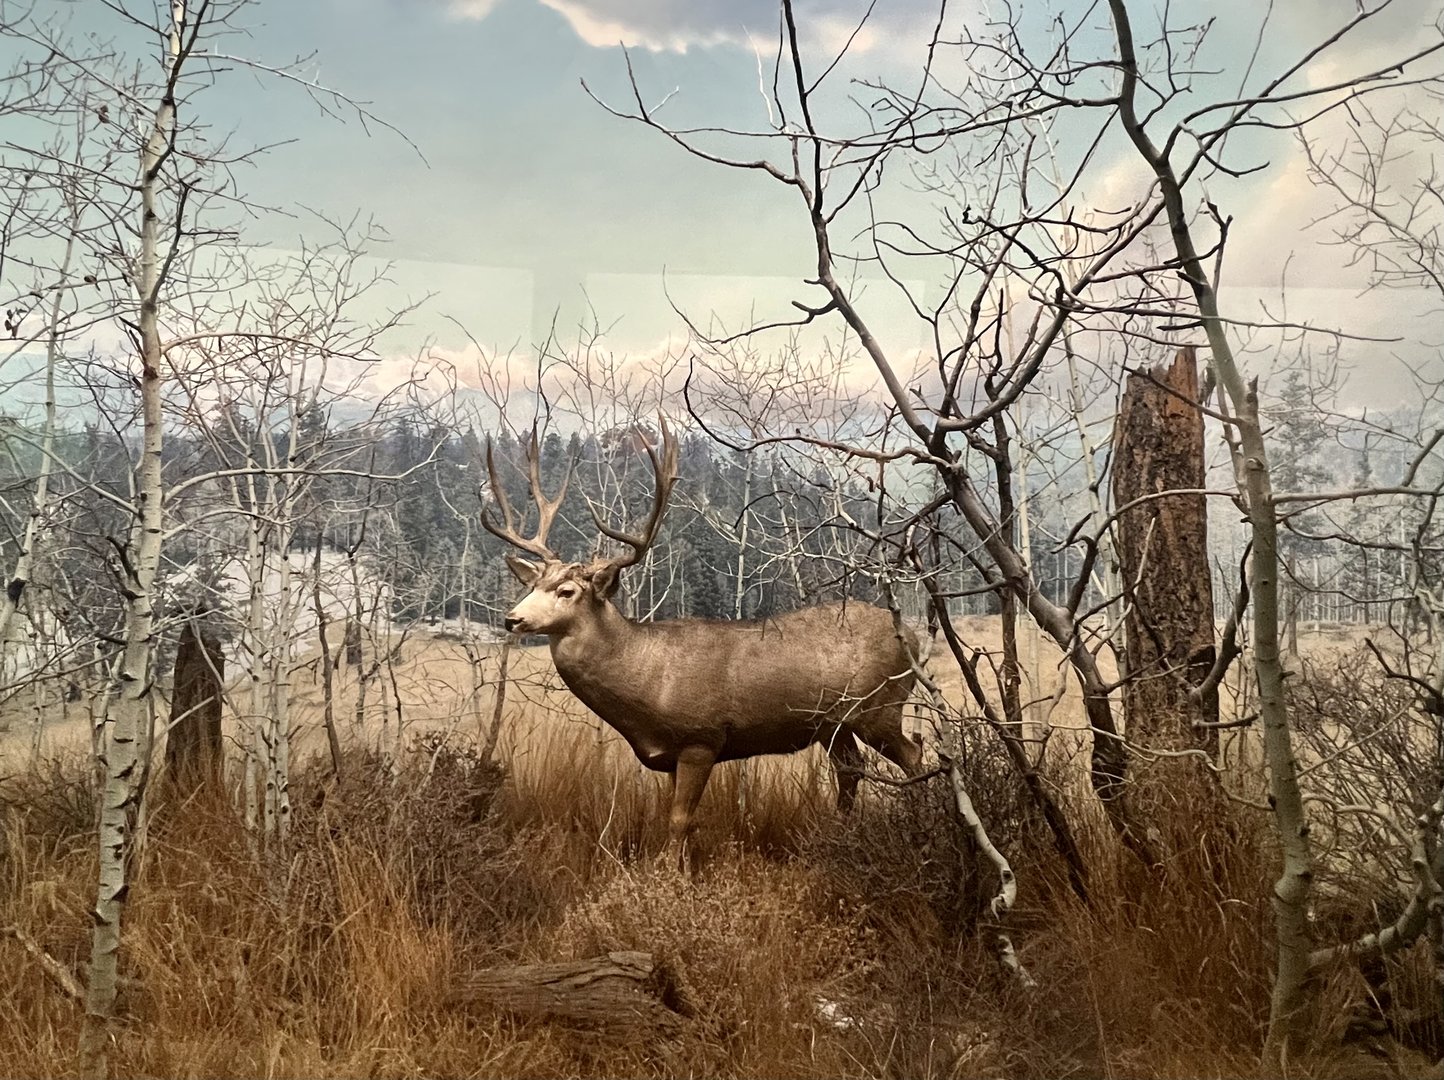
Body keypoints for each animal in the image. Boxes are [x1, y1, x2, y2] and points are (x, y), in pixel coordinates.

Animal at [482, 418, 923, 854]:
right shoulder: (670, 754)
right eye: (532, 584)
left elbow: (679, 821)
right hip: (834, 725)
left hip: (879, 708)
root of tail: (914, 638)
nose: (512, 619)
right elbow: (678, 820)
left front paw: (670, 872)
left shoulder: (700, 737)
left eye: (567, 591)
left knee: (913, 755)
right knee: (852, 769)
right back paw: (839, 836)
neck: (646, 678)